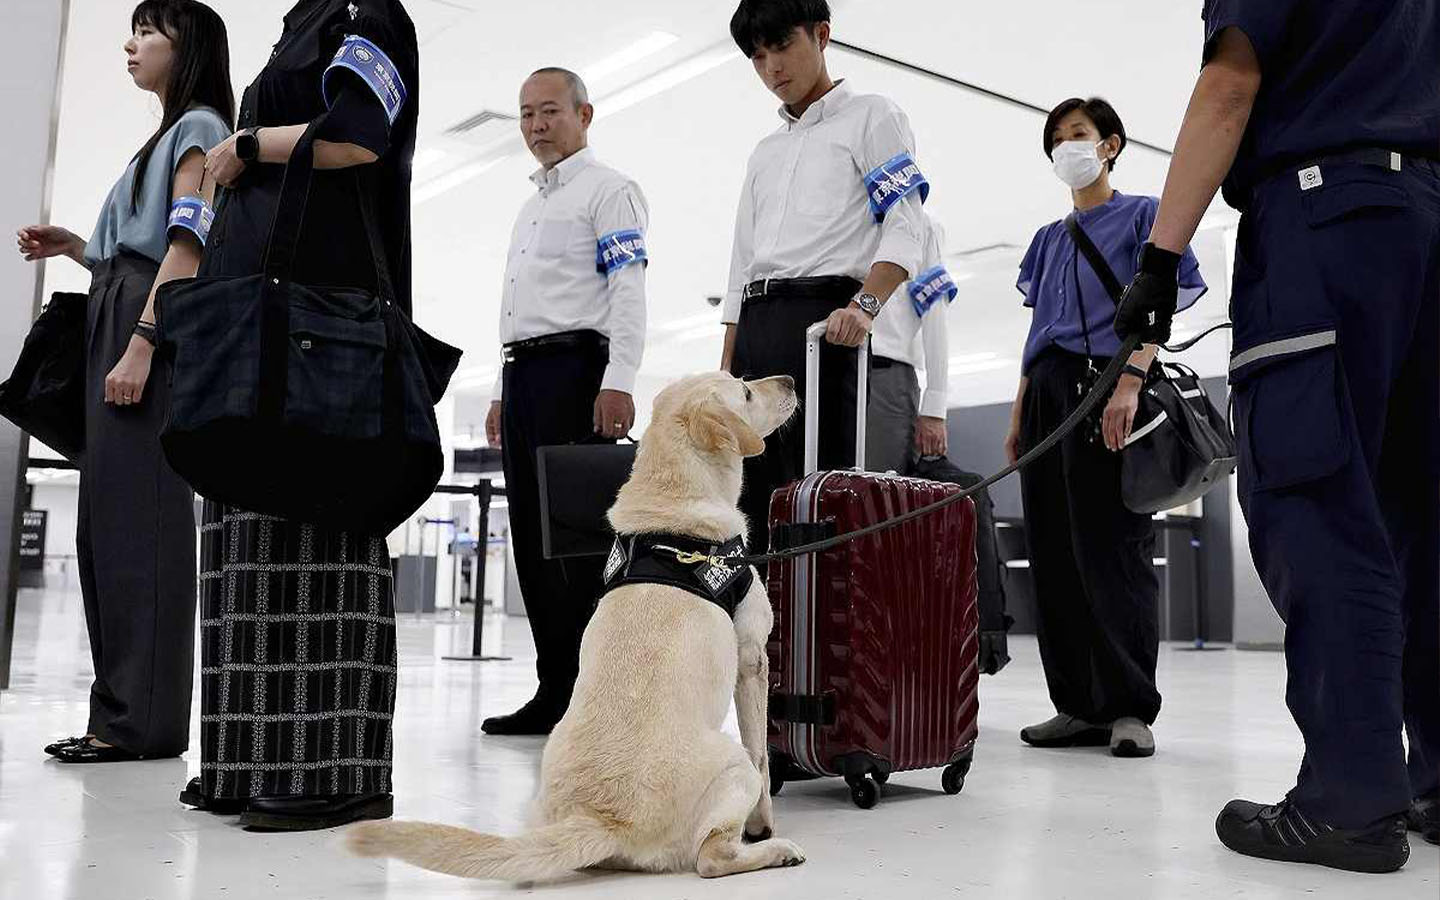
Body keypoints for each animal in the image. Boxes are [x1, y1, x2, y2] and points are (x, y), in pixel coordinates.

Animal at [347, 371, 800, 875]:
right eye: (745, 391)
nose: (790, 379)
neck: (674, 514)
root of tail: (602, 819)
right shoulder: (752, 659)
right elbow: (762, 755)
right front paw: (764, 823)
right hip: (730, 764)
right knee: (713, 856)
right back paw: (774, 851)